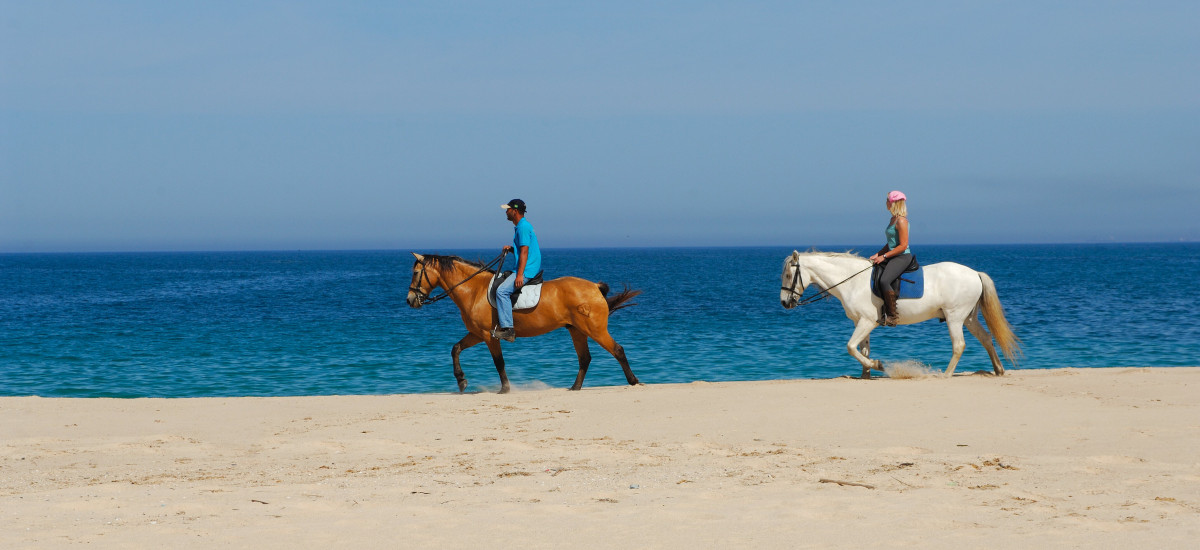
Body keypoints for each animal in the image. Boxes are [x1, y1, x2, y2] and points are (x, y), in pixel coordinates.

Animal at [408, 253, 643, 391]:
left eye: (416, 272)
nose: (410, 300)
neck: (474, 290)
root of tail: (594, 287)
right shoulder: (476, 334)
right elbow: (455, 349)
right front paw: (461, 380)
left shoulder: (488, 336)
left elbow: (499, 362)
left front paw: (504, 388)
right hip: (577, 330)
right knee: (585, 358)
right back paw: (575, 387)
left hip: (594, 329)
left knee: (617, 350)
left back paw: (633, 381)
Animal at [777, 250, 1022, 379]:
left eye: (788, 275)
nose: (784, 303)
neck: (853, 281)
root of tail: (974, 273)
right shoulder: (862, 323)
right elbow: (862, 348)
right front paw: (865, 374)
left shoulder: (867, 321)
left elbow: (850, 347)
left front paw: (878, 365)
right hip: (968, 318)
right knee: (986, 338)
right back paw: (998, 370)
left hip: (954, 317)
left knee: (959, 345)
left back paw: (945, 375)